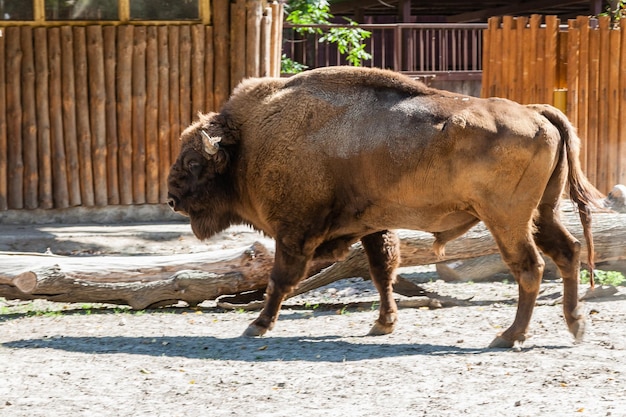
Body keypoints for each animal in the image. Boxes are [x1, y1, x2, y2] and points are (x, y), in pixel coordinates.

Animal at [166, 66, 600, 348]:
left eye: (193, 161)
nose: (171, 198)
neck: (247, 141)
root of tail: (536, 113)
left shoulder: (294, 233)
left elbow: (279, 279)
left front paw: (256, 325)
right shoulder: (373, 227)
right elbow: (381, 272)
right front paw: (383, 325)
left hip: (507, 219)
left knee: (529, 267)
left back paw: (508, 337)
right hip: (542, 213)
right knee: (568, 252)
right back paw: (575, 326)